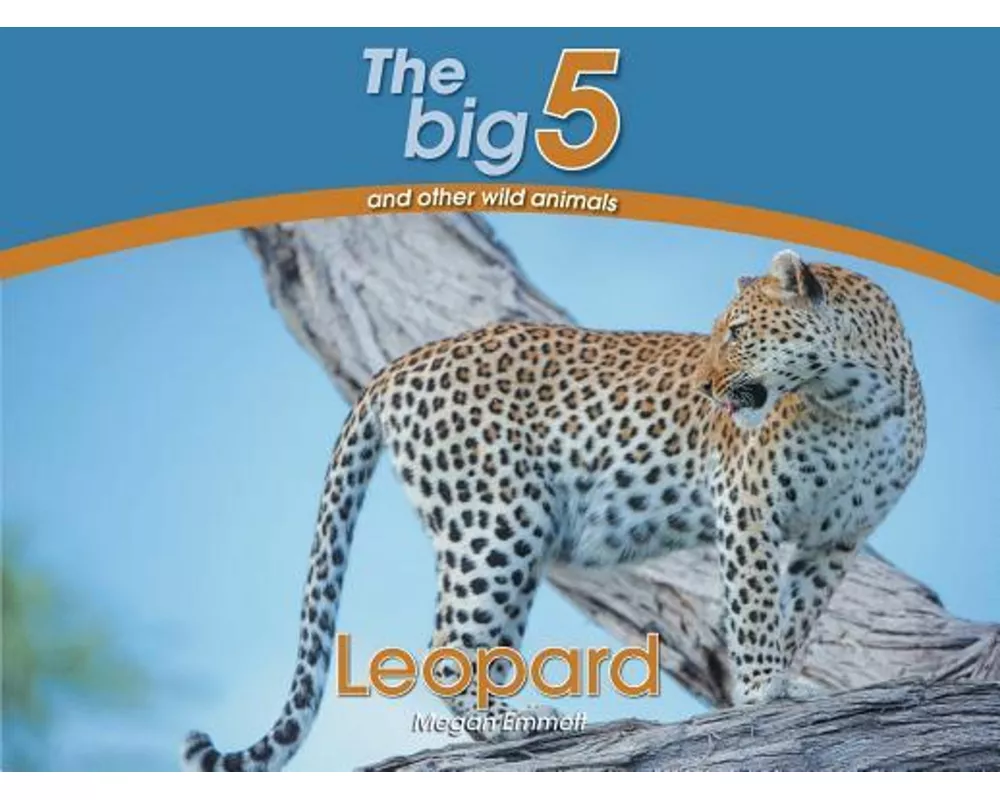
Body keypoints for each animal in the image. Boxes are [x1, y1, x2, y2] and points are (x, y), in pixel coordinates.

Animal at [182, 249, 927, 771]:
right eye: (719, 331)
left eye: (739, 330)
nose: (704, 385)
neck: (855, 401)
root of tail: (400, 363)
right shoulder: (746, 505)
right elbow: (754, 610)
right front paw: (764, 689)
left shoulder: (837, 538)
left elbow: (795, 612)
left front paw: (780, 685)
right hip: (497, 521)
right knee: (447, 648)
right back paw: (520, 724)